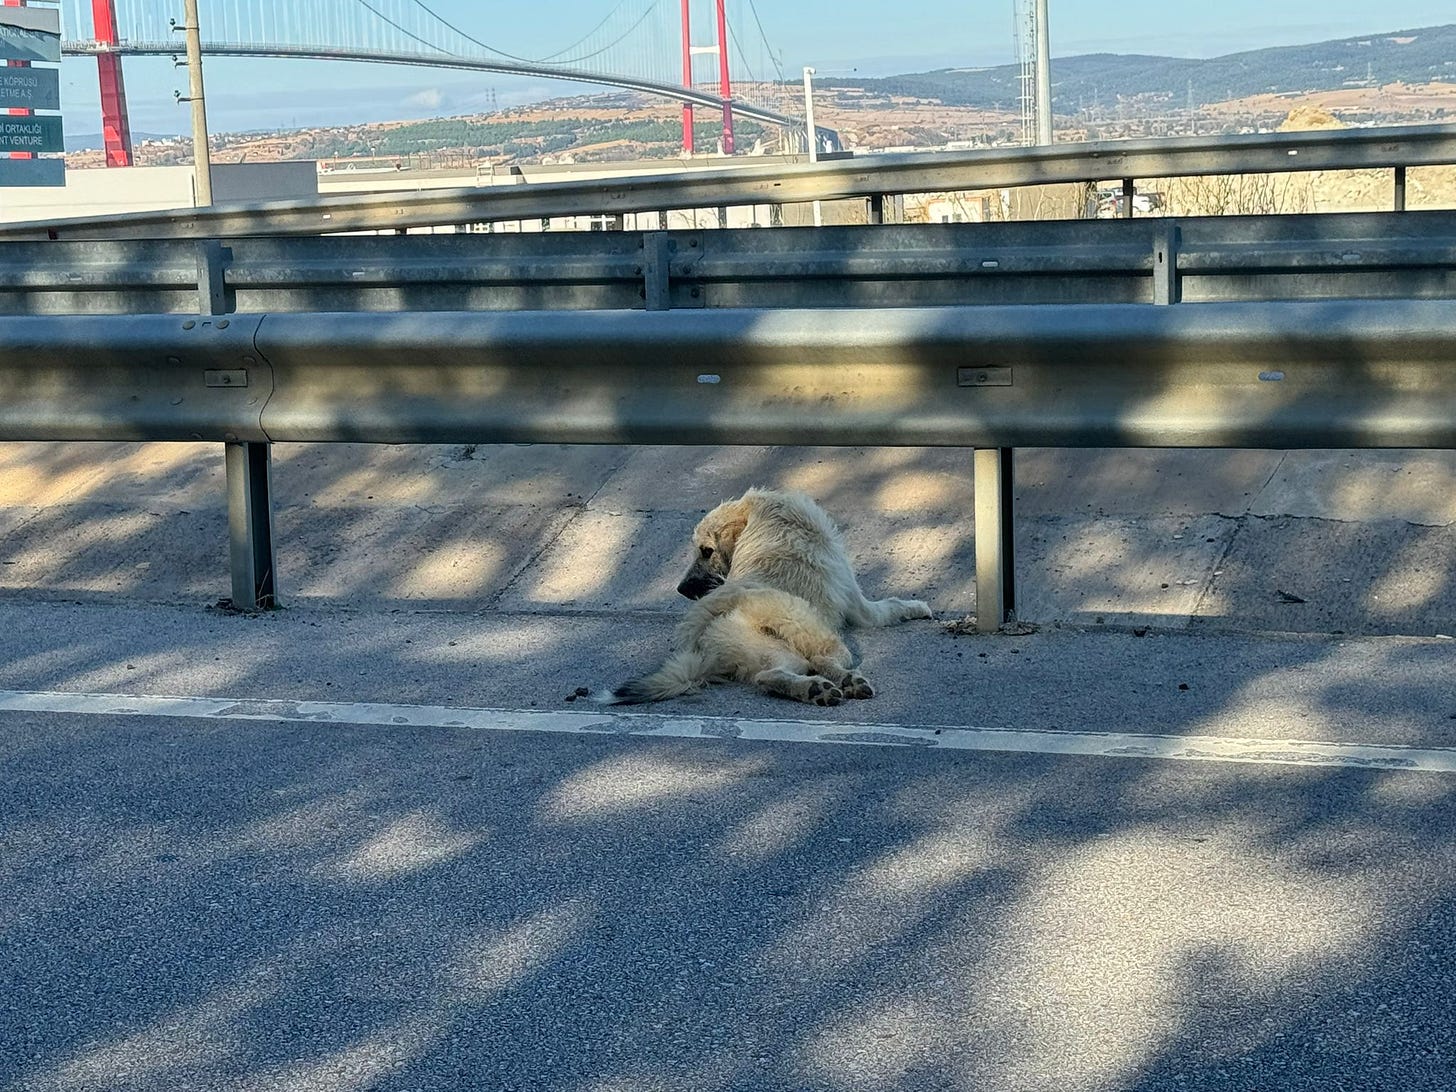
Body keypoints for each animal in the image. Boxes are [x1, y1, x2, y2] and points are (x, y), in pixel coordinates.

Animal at [603, 487, 932, 706]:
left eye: (706, 551)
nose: (681, 589)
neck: (765, 516)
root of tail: (705, 632)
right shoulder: (860, 606)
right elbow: (892, 606)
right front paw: (918, 607)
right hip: (814, 632)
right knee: (822, 660)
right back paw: (846, 682)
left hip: (776, 655)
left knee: (769, 677)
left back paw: (814, 690)